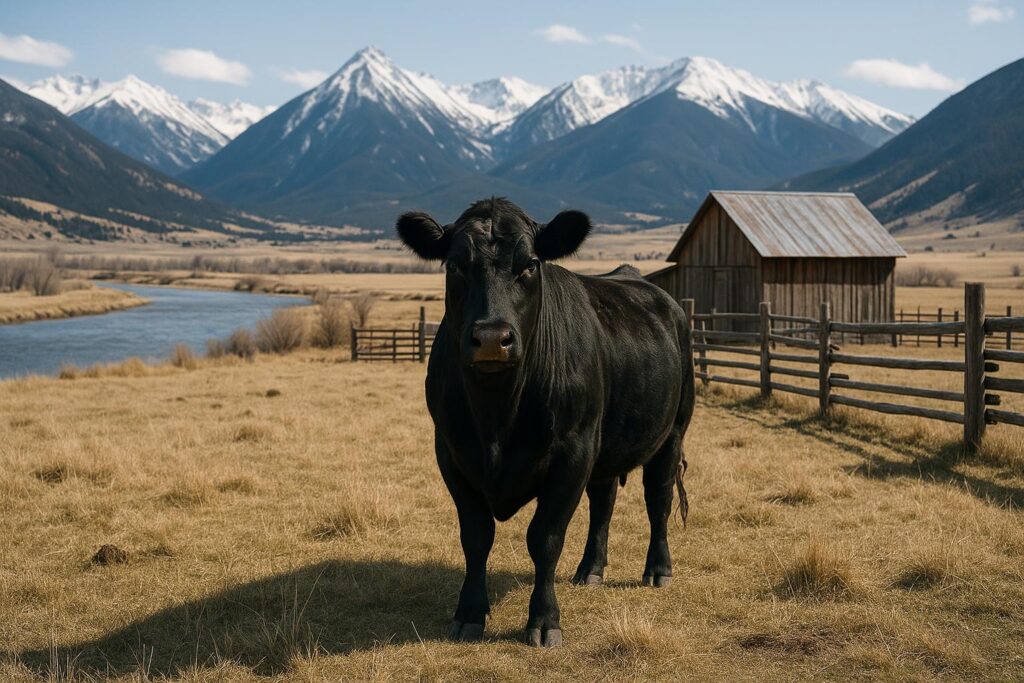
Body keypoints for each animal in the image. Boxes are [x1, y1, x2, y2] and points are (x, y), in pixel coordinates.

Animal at [396, 198, 694, 648]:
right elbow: (476, 537)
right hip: (606, 444)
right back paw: (590, 570)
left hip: (671, 431)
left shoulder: (572, 454)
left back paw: (658, 570)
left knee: (657, 499)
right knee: (603, 502)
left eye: (531, 264)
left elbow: (545, 538)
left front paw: (544, 620)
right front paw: (468, 614)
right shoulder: (451, 453)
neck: (497, 415)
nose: (491, 338)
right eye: (455, 265)